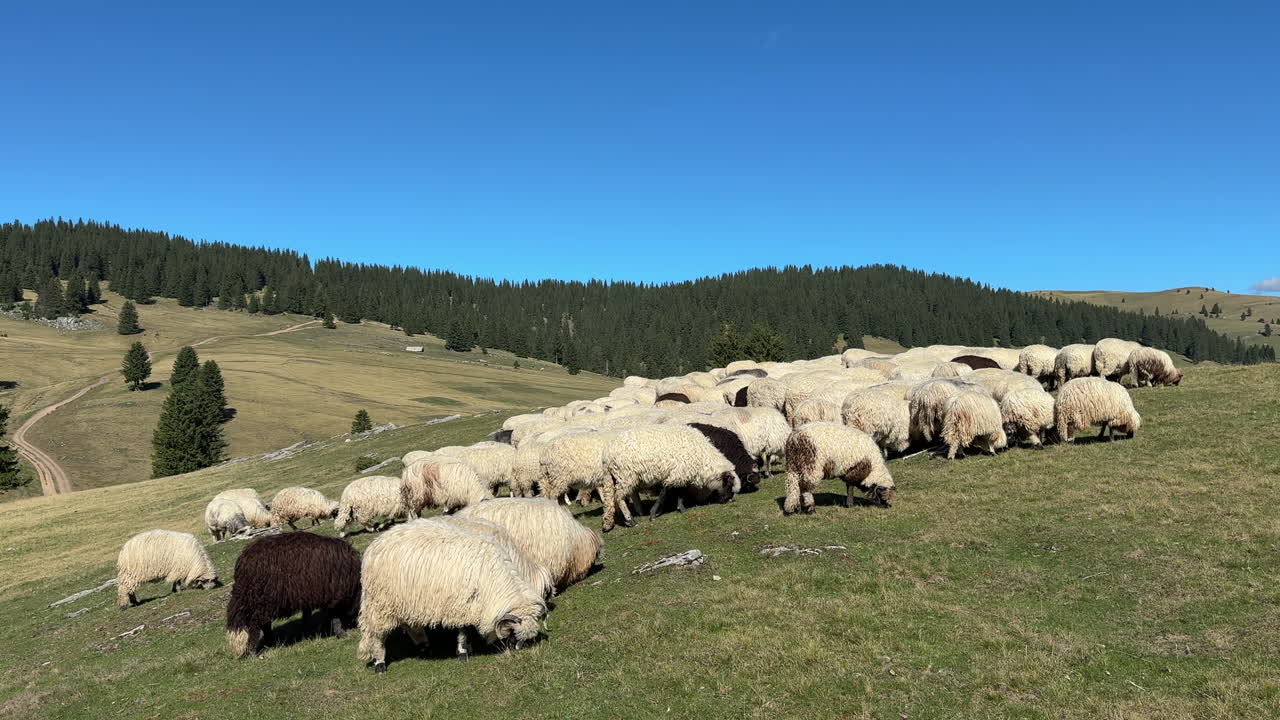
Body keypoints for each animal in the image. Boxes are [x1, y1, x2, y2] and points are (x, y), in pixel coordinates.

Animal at [226, 532, 361, 658]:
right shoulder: (333, 595)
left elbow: (307, 614)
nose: (356, 624)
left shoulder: (309, 595)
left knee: (264, 624)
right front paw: (342, 634)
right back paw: (254, 652)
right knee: (256, 625)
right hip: (261, 600)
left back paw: (271, 641)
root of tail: (242, 563)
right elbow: (335, 617)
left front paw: (306, 630)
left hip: (262, 601)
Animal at [356, 518, 547, 671]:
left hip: (404, 601)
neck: (493, 580)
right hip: (379, 603)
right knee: (376, 634)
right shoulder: (462, 605)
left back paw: (424, 645)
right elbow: (463, 632)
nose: (518, 651)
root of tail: (375, 544)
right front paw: (462, 652)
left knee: (410, 625)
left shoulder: (470, 606)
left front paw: (467, 648)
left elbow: (467, 630)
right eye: (514, 633)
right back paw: (380, 663)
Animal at [601, 424, 739, 531]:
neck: (703, 459)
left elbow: (680, 492)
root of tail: (607, 455)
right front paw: (654, 513)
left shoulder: (682, 474)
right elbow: (665, 492)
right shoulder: (679, 472)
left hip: (625, 476)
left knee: (629, 494)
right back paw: (630, 520)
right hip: (625, 475)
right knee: (619, 497)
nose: (728, 499)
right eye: (729, 484)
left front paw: (680, 508)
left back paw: (636, 513)